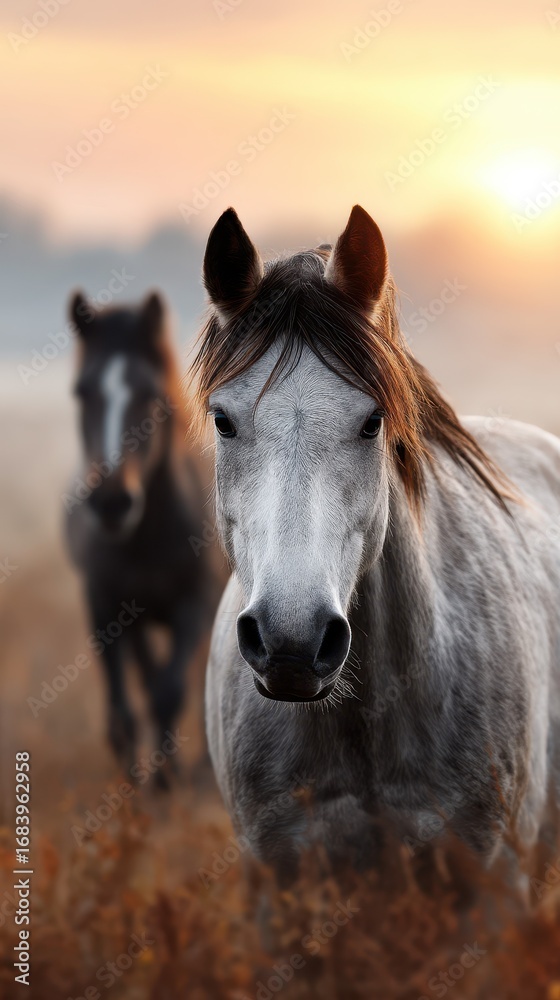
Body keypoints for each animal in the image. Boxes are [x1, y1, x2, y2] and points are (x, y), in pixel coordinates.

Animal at [66, 290, 221, 780]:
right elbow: (129, 702)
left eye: (150, 395)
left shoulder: (196, 604)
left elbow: (169, 692)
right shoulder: (107, 606)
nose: (113, 501)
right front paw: (139, 778)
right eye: (82, 392)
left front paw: (169, 778)